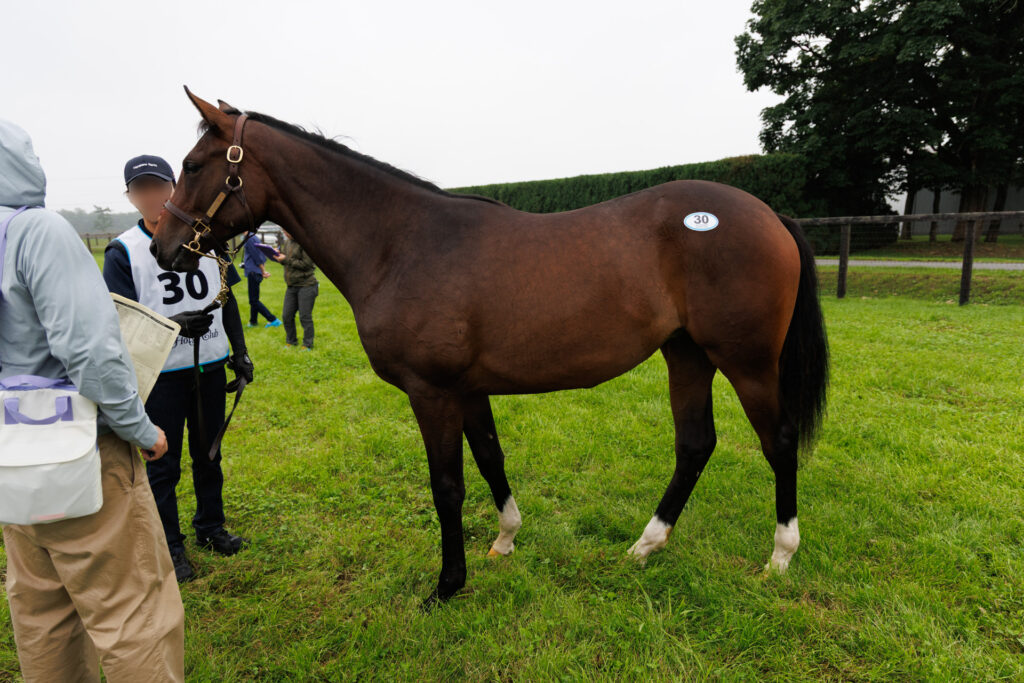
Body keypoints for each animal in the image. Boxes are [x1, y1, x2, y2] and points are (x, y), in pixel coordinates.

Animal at [150, 88, 829, 607]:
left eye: (193, 164)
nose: (163, 247)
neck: (402, 243)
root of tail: (767, 213)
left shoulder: (431, 393)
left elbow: (447, 485)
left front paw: (447, 585)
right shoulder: (468, 390)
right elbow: (491, 459)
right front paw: (505, 539)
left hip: (746, 362)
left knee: (779, 442)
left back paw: (780, 556)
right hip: (686, 355)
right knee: (695, 446)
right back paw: (645, 545)